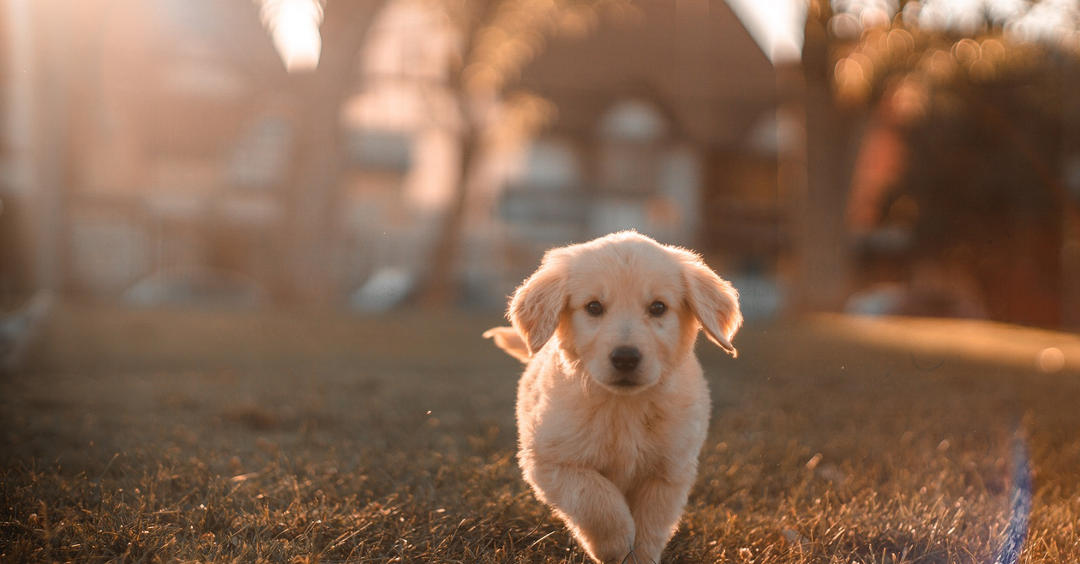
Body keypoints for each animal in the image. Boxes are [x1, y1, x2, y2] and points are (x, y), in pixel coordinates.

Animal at [492, 230, 738, 557]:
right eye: (594, 307)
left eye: (658, 307)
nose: (625, 358)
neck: (624, 406)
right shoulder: (551, 461)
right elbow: (597, 500)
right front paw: (617, 545)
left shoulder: (669, 471)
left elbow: (650, 525)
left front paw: (639, 554)